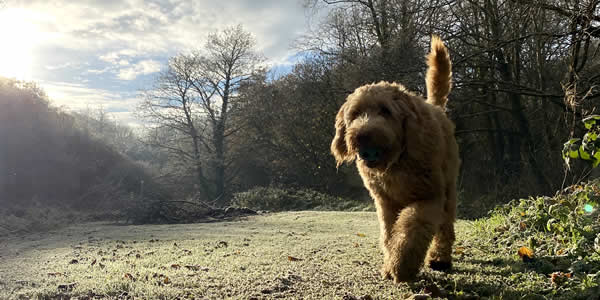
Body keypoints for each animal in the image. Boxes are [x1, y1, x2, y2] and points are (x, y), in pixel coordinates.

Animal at [330, 36, 458, 282]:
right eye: (355, 114)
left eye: (385, 110)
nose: (362, 135)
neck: (396, 163)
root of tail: (436, 108)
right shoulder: (386, 203)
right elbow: (390, 234)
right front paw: (391, 263)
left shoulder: (428, 197)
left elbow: (411, 228)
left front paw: (402, 265)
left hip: (448, 188)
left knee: (445, 226)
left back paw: (440, 258)